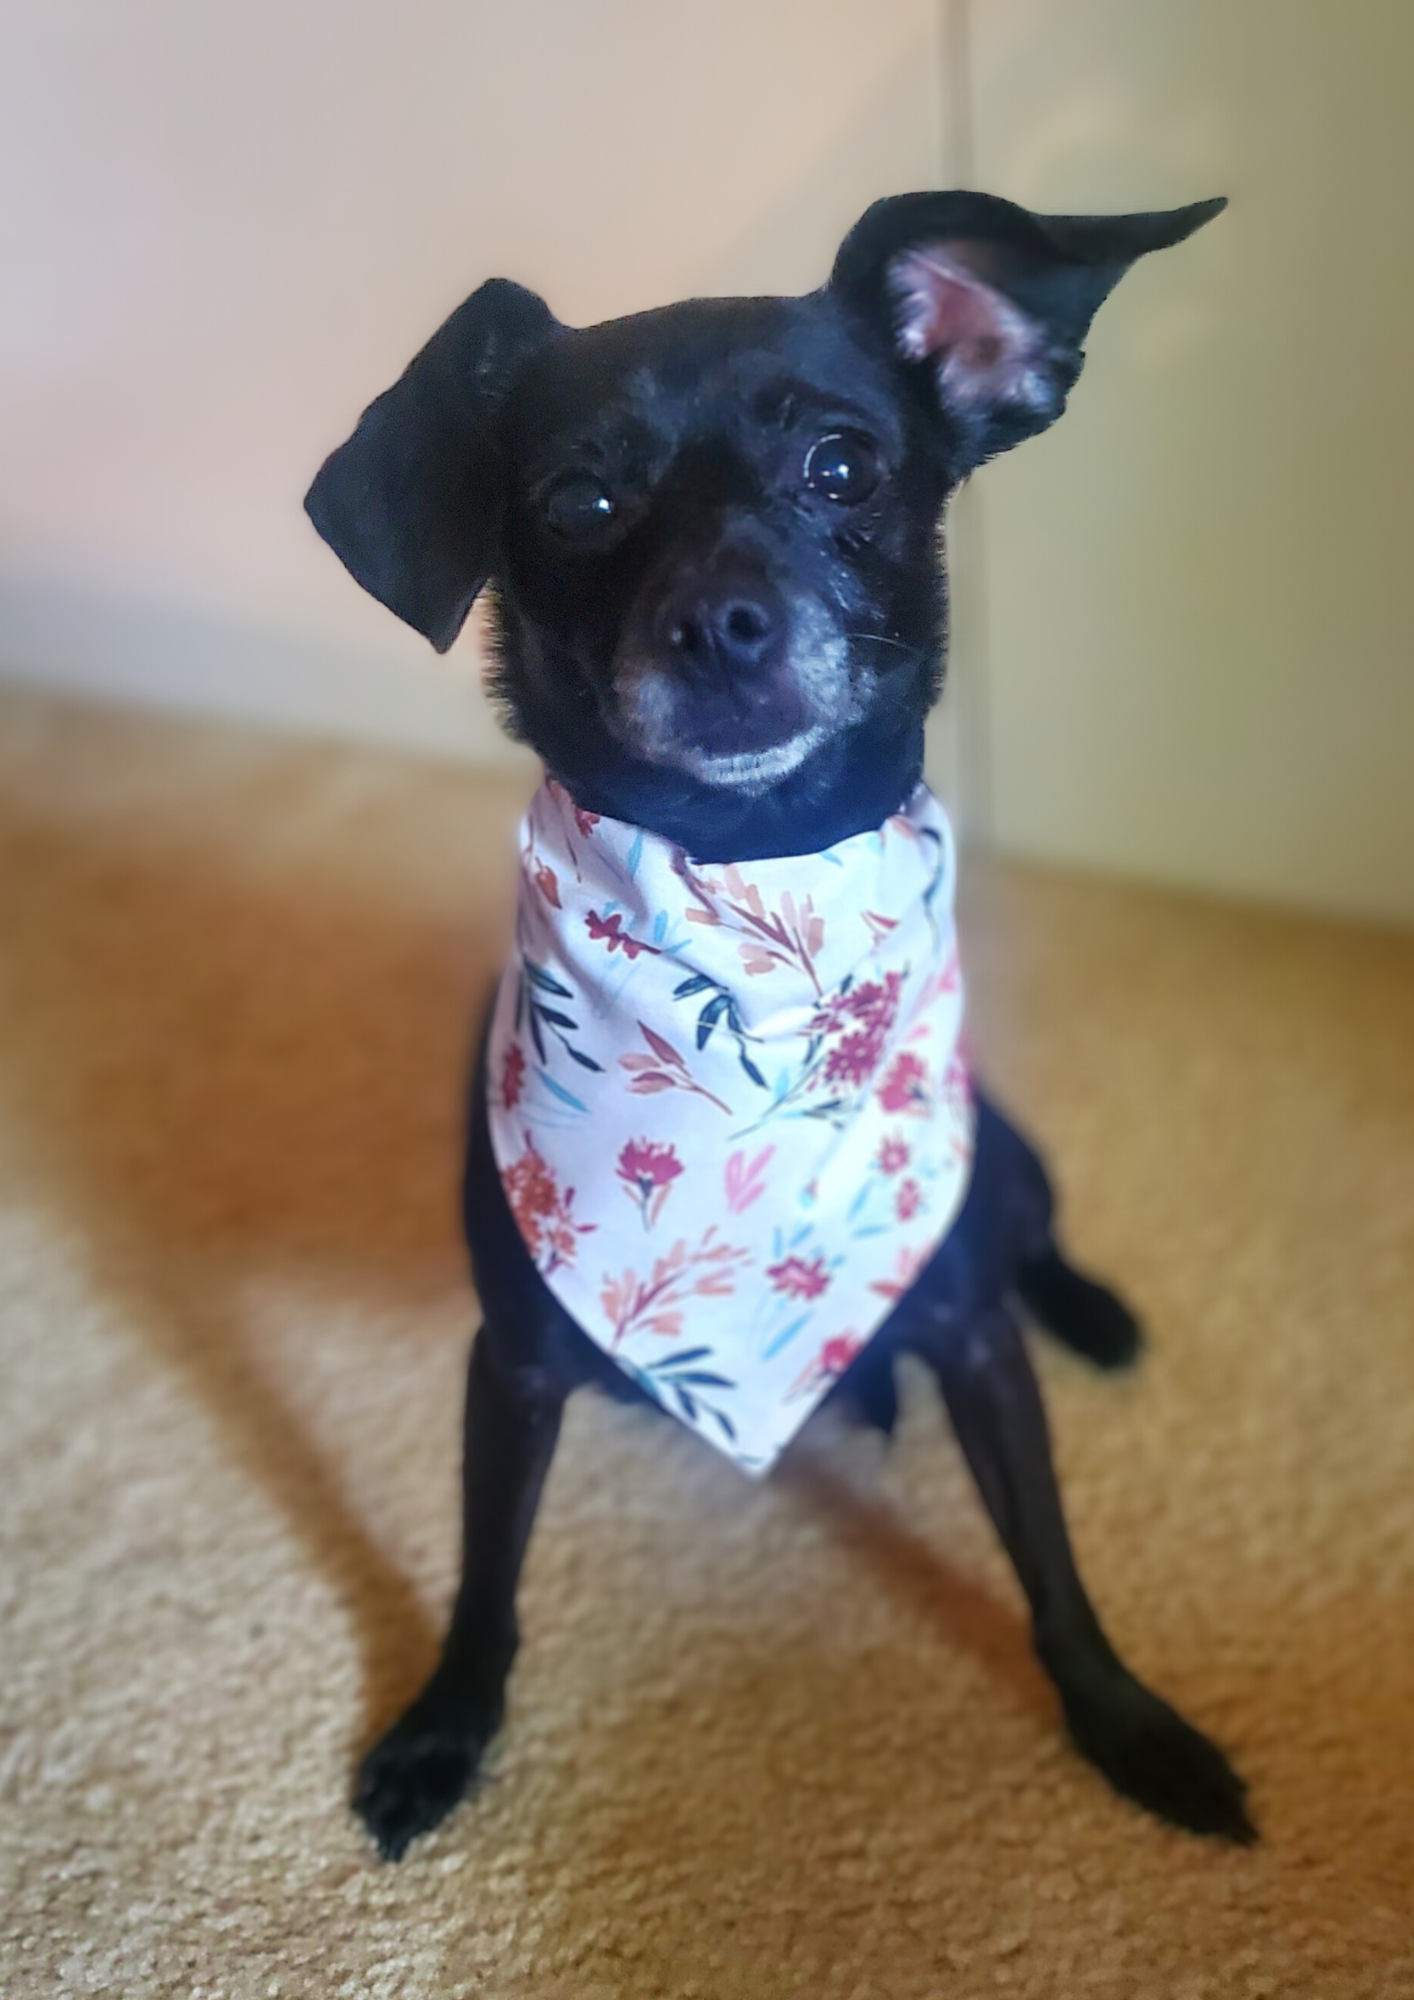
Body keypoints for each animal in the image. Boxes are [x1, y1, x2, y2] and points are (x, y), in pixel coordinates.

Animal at [306, 188, 1248, 1856]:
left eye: (843, 468)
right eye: (579, 501)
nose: (721, 624)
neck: (752, 899)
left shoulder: (970, 1336)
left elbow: (1054, 1567)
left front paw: (1130, 1727)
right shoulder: (513, 1364)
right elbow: (486, 1578)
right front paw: (443, 1726)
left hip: (1007, 1159)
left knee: (1039, 1234)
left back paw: (1094, 1313)